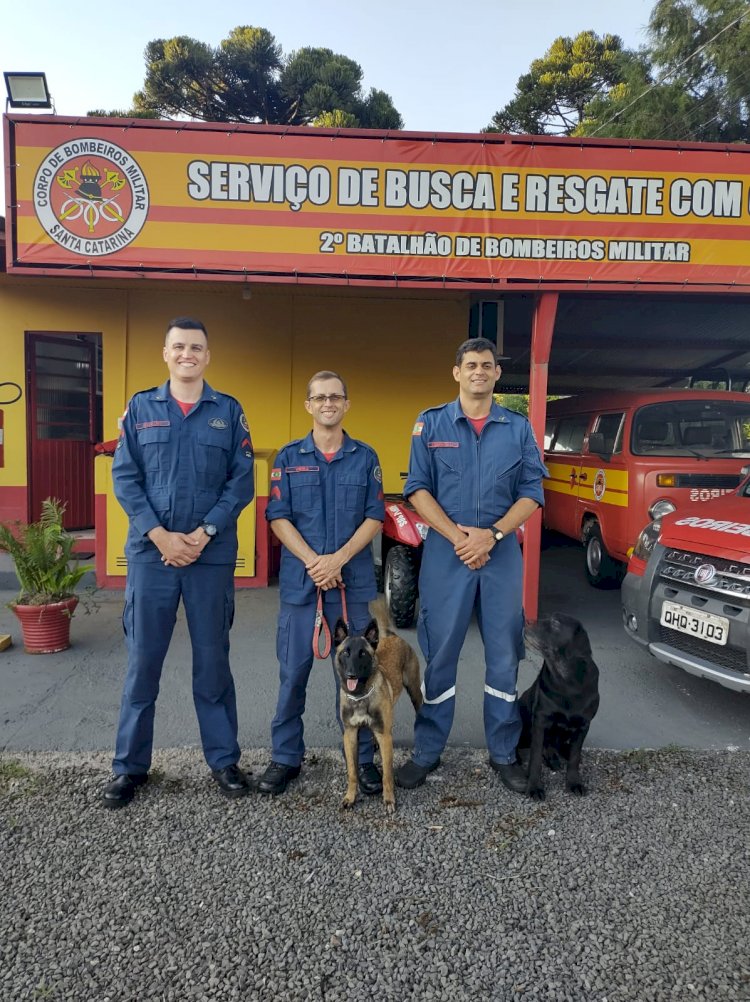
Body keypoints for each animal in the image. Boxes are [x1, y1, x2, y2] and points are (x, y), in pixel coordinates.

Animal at [334, 597, 420, 809]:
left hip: (415, 692)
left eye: (362, 653)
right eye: (345, 653)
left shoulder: (385, 736)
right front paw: (350, 796)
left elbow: (387, 775)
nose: (351, 675)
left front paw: (389, 799)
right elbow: (352, 772)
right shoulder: (350, 735)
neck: (360, 695)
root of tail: (390, 635)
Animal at [516, 609, 600, 797]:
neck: (566, 682)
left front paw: (574, 783)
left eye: (555, 623)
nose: (527, 620)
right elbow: (535, 758)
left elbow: (575, 757)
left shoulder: (584, 725)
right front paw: (534, 787)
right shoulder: (540, 720)